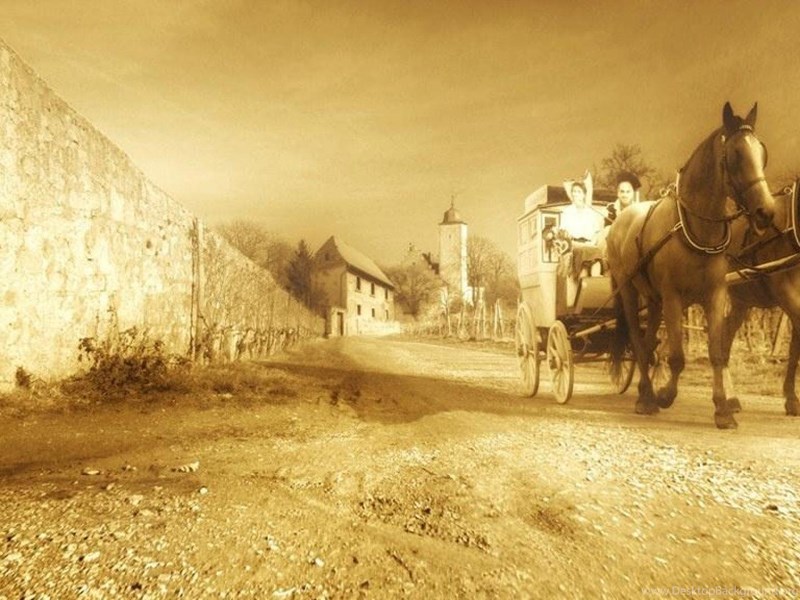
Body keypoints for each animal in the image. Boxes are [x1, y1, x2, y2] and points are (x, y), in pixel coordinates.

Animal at [607, 102, 775, 429]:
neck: (695, 230)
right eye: (736, 154)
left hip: (654, 298)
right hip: (630, 291)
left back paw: (643, 393)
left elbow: (717, 353)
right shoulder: (674, 298)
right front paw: (665, 395)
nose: (766, 211)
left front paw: (722, 409)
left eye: (762, 152)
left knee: (647, 342)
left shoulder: (715, 296)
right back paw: (648, 398)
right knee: (637, 339)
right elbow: (676, 357)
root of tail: (619, 221)